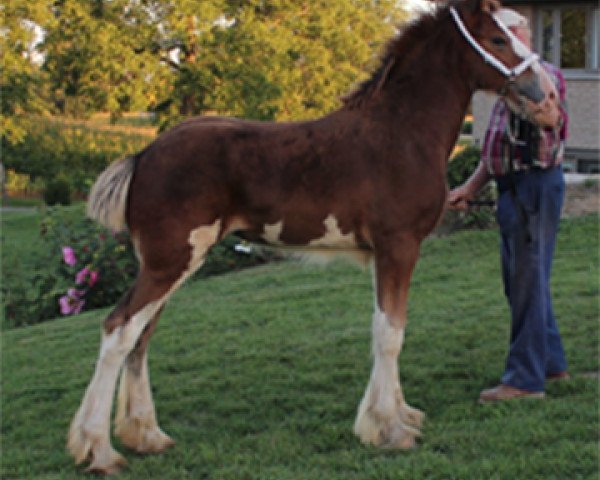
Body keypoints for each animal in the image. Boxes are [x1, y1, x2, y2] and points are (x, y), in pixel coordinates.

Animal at [68, 0, 560, 472]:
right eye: (498, 39)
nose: (548, 97)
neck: (400, 132)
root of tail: (143, 156)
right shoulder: (398, 246)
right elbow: (390, 333)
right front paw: (389, 430)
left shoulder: (386, 254)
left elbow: (388, 326)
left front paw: (400, 414)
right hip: (171, 261)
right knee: (119, 330)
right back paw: (100, 451)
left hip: (171, 264)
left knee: (141, 336)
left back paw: (146, 436)